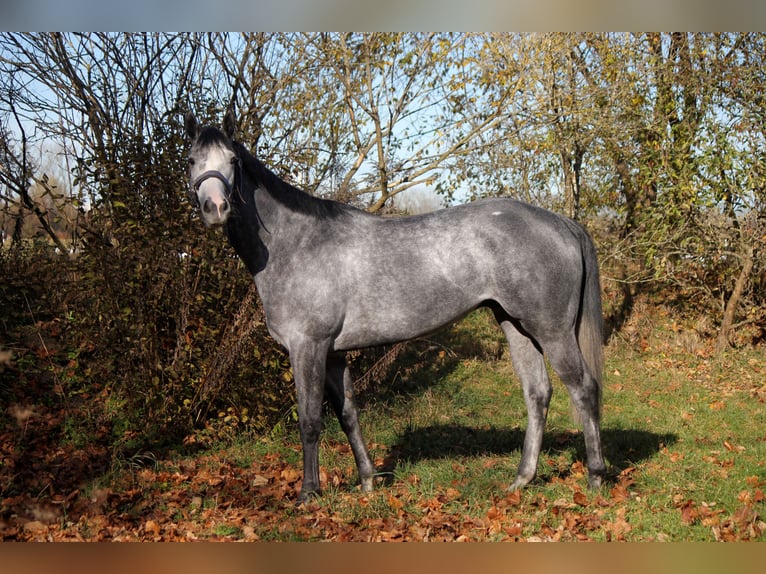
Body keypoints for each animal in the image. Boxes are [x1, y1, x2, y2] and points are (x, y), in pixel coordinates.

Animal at [184, 110, 608, 502]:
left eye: (233, 161)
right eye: (191, 160)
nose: (215, 207)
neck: (298, 243)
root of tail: (563, 224)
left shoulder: (308, 347)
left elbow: (310, 420)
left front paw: (308, 493)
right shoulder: (333, 352)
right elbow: (348, 415)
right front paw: (369, 481)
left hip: (551, 331)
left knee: (583, 389)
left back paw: (595, 476)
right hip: (515, 325)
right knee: (537, 393)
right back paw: (522, 479)